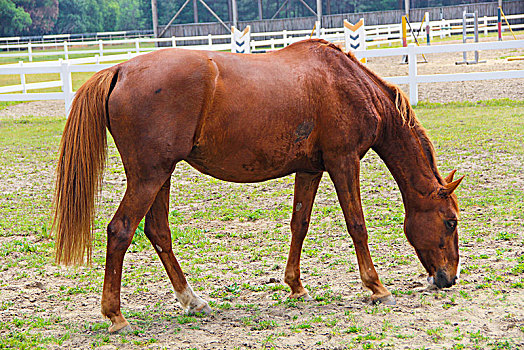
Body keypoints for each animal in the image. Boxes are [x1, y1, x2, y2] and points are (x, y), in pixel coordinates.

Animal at [52, 39, 462, 332]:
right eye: (450, 222)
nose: (447, 279)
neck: (347, 82)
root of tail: (120, 69)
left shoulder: (310, 169)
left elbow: (300, 224)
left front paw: (295, 285)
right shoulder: (344, 162)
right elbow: (357, 225)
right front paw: (376, 287)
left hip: (158, 177)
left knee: (158, 231)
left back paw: (192, 300)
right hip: (148, 177)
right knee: (120, 230)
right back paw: (115, 315)